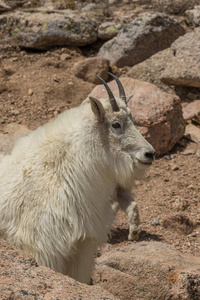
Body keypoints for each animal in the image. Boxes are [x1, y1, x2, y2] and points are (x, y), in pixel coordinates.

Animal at [0, 72, 155, 284]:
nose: (150, 154)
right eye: (116, 124)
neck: (62, 172)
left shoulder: (82, 247)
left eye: (133, 120)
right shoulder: (44, 248)